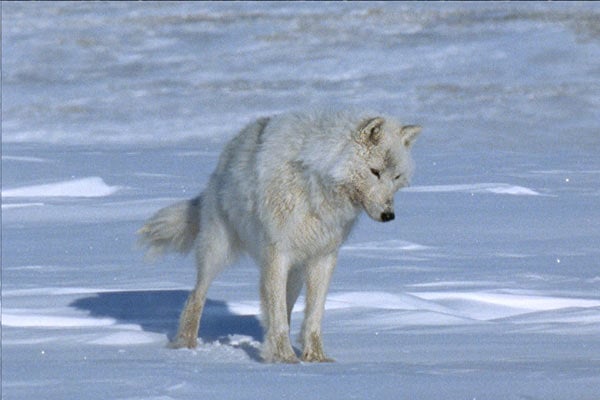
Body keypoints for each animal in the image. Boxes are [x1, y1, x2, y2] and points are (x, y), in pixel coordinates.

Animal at [139, 108, 422, 362]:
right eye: (375, 172)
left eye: (396, 176)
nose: (389, 215)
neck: (316, 182)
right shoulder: (277, 254)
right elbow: (278, 317)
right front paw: (285, 358)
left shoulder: (323, 258)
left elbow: (312, 316)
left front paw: (315, 357)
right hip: (217, 252)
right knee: (196, 296)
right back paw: (185, 343)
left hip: (294, 274)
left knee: (282, 308)